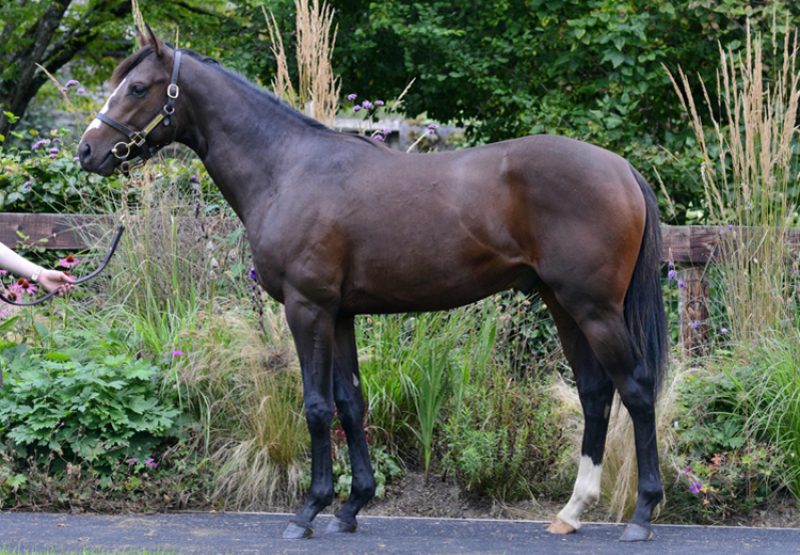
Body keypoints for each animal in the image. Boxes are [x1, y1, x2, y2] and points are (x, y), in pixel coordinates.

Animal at [79, 27, 668, 544]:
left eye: (137, 87)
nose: (88, 151)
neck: (286, 169)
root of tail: (620, 168)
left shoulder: (308, 308)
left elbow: (317, 405)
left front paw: (308, 511)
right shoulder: (340, 314)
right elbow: (350, 403)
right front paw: (352, 507)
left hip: (594, 307)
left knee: (636, 389)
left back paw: (642, 515)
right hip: (562, 304)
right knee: (595, 393)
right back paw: (571, 511)